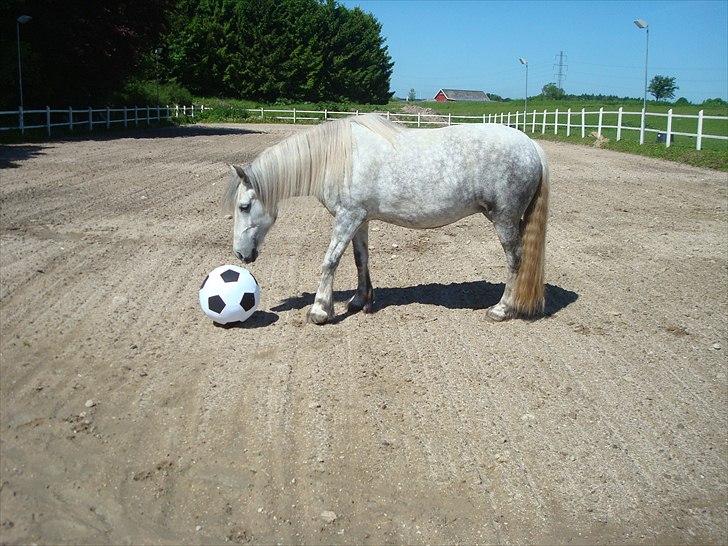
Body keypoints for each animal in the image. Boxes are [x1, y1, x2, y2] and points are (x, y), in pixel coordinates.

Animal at [224, 114, 549, 325]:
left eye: (244, 206)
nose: (241, 254)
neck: (338, 158)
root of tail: (532, 147)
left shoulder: (347, 217)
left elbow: (330, 261)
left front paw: (320, 311)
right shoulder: (360, 219)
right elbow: (360, 259)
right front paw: (360, 301)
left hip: (505, 220)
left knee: (515, 261)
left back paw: (502, 309)